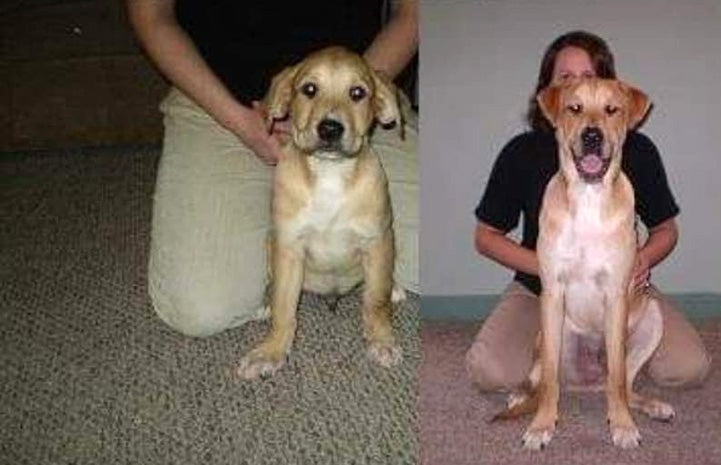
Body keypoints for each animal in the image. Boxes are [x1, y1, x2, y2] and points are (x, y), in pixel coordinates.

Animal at [238, 47, 402, 380]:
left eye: (357, 93)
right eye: (309, 89)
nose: (330, 129)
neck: (330, 172)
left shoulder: (377, 240)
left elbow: (375, 301)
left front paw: (381, 339)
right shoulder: (288, 247)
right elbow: (284, 307)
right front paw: (271, 350)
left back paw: (395, 287)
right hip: (271, 243)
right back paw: (265, 303)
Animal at [496, 79, 676, 450]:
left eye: (612, 109)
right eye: (574, 108)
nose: (592, 135)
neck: (589, 199)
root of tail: (588, 384)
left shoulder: (618, 293)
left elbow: (618, 382)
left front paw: (622, 425)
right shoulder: (553, 292)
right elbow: (549, 382)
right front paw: (541, 425)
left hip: (651, 317)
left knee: (622, 384)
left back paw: (652, 406)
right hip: (551, 335)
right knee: (542, 378)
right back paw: (521, 396)